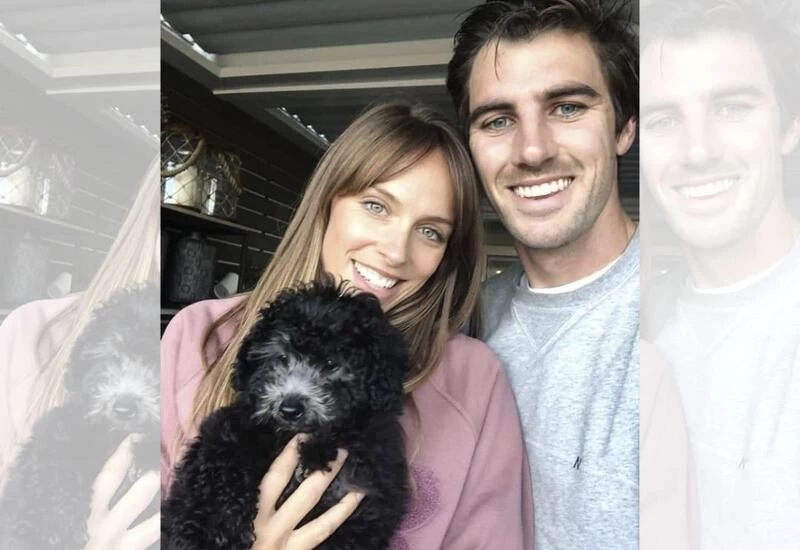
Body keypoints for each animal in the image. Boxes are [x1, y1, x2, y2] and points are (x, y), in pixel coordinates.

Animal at [0, 284, 160, 550]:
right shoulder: (59, 429)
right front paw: (57, 525)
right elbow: (56, 464)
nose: (124, 408)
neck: (116, 435)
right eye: (110, 358)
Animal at [162, 279, 410, 550]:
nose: (290, 409)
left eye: (332, 363)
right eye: (281, 357)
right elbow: (218, 477)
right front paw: (209, 534)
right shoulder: (228, 432)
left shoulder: (364, 494)